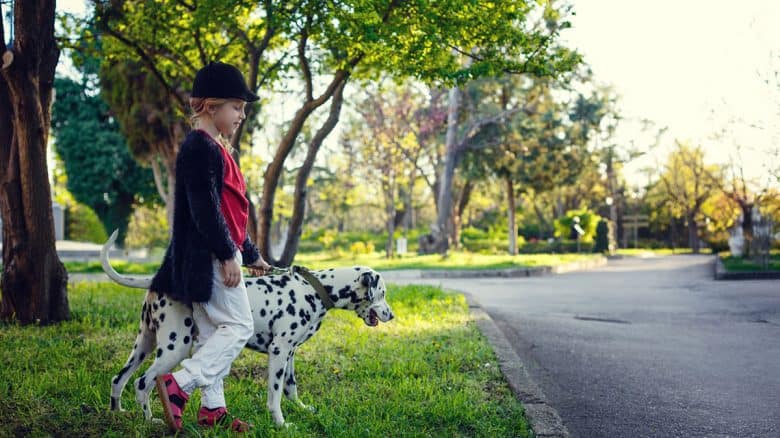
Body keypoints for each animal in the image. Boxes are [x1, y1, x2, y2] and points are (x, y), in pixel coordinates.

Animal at [100, 231, 394, 426]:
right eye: (382, 293)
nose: (391, 315)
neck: (313, 290)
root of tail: (158, 281)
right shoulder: (279, 352)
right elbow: (275, 394)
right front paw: (280, 423)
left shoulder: (290, 354)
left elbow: (291, 388)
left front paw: (302, 409)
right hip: (175, 347)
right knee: (143, 383)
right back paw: (152, 420)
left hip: (143, 345)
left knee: (118, 379)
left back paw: (118, 413)